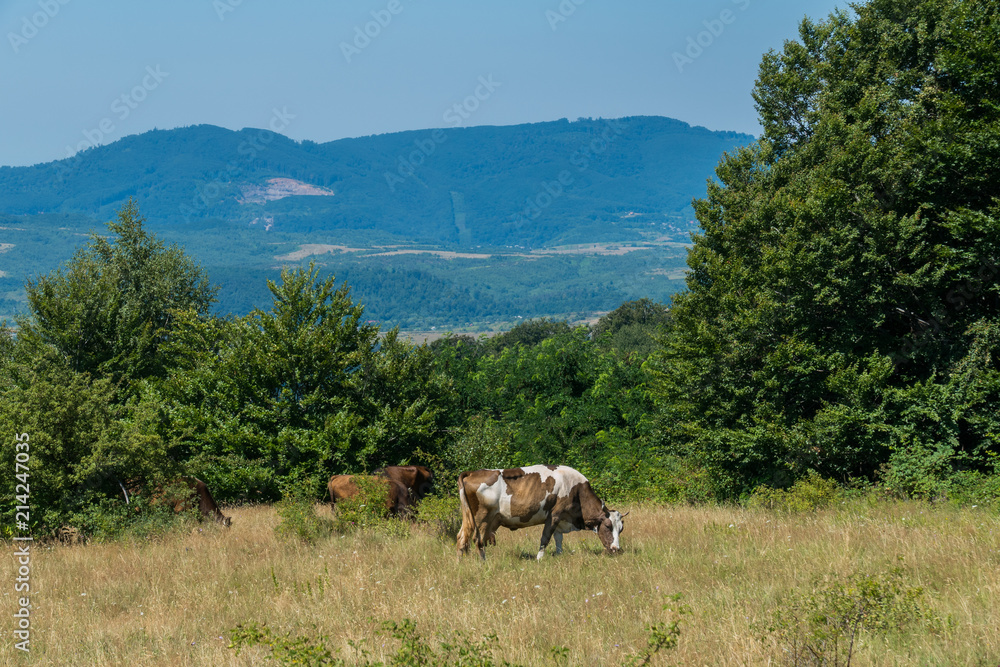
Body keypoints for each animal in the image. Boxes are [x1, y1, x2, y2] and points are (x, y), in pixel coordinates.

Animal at [456, 465, 627, 560]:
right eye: (607, 526)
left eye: (621, 529)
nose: (616, 549)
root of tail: (472, 473)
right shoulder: (554, 515)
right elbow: (545, 538)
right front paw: (539, 559)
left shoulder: (561, 519)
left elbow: (558, 540)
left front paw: (559, 555)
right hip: (483, 518)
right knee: (477, 540)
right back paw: (484, 563)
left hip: (469, 519)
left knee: (461, 538)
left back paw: (461, 563)